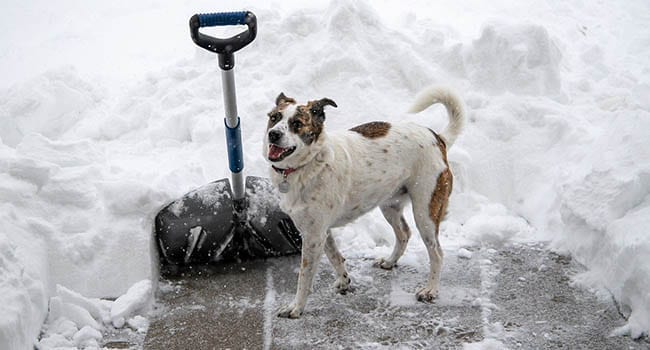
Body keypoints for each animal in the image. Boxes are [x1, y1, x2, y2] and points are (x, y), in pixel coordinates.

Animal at [260, 87, 464, 318]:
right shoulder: (320, 231)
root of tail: (438, 138)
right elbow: (335, 256)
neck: (309, 164)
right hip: (390, 205)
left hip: (426, 211)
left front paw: (296, 307)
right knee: (404, 233)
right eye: (274, 118)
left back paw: (430, 290)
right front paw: (344, 281)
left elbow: (304, 277)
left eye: (297, 123)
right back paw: (390, 262)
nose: (273, 134)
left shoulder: (313, 236)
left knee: (437, 253)